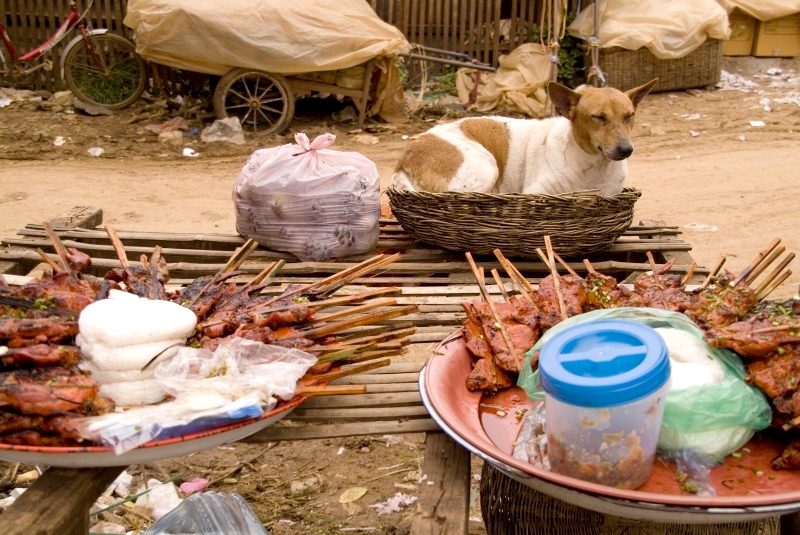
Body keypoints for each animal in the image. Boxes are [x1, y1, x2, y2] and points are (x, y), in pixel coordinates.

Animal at [390, 78, 660, 198]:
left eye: (629, 116)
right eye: (598, 117)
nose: (626, 149)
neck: (591, 166)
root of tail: (404, 160)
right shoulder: (536, 192)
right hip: (485, 167)